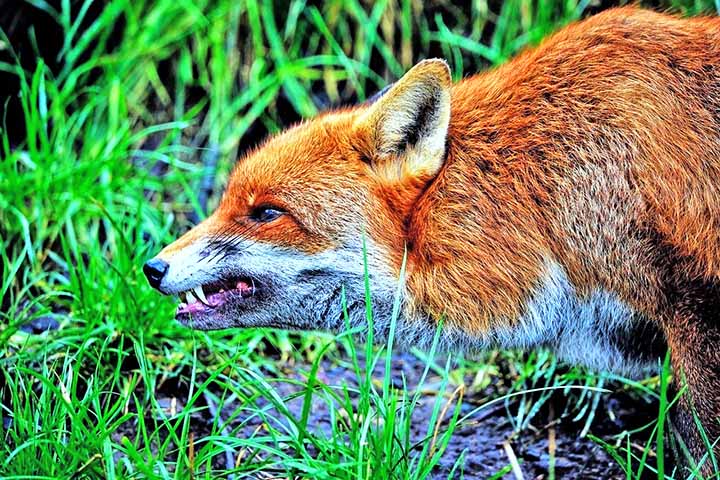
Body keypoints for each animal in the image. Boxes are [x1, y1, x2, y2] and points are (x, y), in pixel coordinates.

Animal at [144, 6, 720, 472]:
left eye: (267, 212)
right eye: (224, 202)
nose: (152, 268)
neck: (546, 191)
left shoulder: (698, 312)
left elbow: (699, 445)